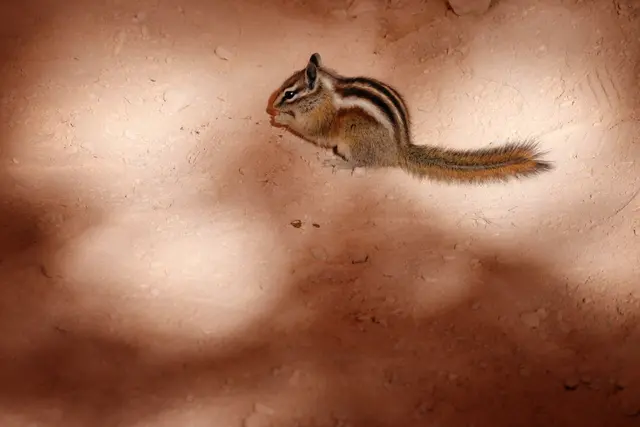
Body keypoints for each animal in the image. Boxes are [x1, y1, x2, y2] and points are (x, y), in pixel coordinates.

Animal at [266, 53, 553, 184]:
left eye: (290, 93)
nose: (272, 106)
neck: (325, 92)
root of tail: (399, 150)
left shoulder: (321, 121)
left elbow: (311, 132)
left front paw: (282, 118)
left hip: (353, 143)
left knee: (363, 163)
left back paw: (341, 164)